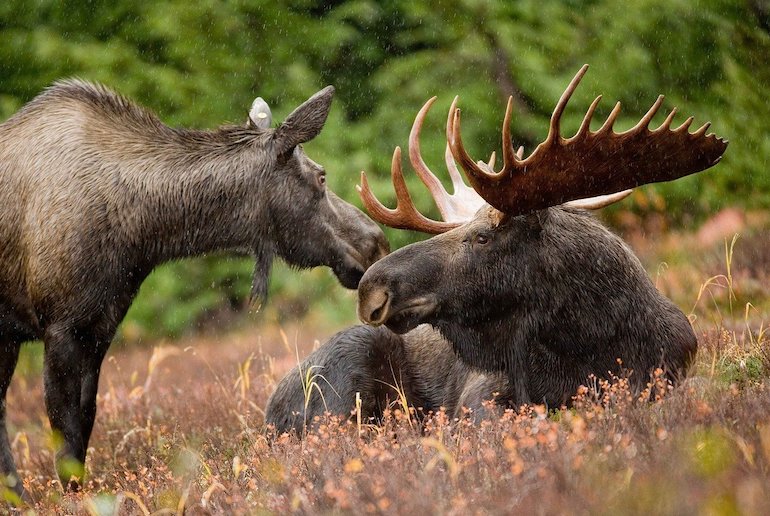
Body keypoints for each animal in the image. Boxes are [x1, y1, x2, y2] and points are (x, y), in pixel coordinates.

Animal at [0, 78, 388, 494]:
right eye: (321, 176)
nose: (376, 242)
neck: (141, 234)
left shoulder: (99, 326)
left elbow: (85, 423)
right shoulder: (61, 327)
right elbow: (66, 437)